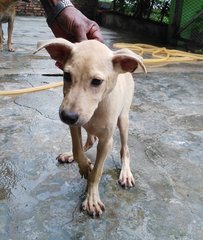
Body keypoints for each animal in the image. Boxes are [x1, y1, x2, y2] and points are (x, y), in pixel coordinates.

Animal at [34, 38, 146, 217]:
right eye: (66, 75)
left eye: (97, 82)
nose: (67, 116)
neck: (98, 107)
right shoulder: (74, 126)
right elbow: (77, 149)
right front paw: (85, 166)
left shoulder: (107, 141)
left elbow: (97, 172)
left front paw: (91, 199)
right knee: (89, 141)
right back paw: (70, 155)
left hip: (123, 119)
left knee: (125, 149)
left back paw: (126, 173)